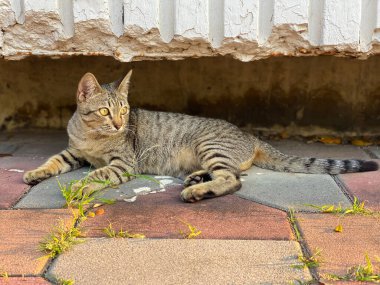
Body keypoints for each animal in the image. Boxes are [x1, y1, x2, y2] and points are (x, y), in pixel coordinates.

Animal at [23, 70, 378, 202]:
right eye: (104, 112)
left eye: (124, 110)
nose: (119, 125)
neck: (90, 135)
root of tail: (251, 137)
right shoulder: (74, 152)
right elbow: (53, 159)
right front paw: (35, 172)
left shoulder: (123, 163)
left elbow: (99, 173)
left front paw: (80, 185)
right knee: (232, 173)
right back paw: (196, 179)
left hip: (210, 145)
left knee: (232, 179)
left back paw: (197, 191)